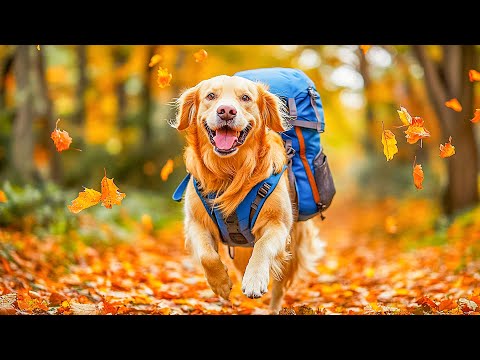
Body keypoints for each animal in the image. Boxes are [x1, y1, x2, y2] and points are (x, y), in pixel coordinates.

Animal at [172, 74, 322, 312]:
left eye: (245, 98)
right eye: (211, 96)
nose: (226, 111)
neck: (230, 173)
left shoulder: (277, 225)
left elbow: (262, 245)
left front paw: (254, 279)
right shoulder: (196, 222)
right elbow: (207, 255)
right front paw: (221, 284)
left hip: (293, 249)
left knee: (279, 287)